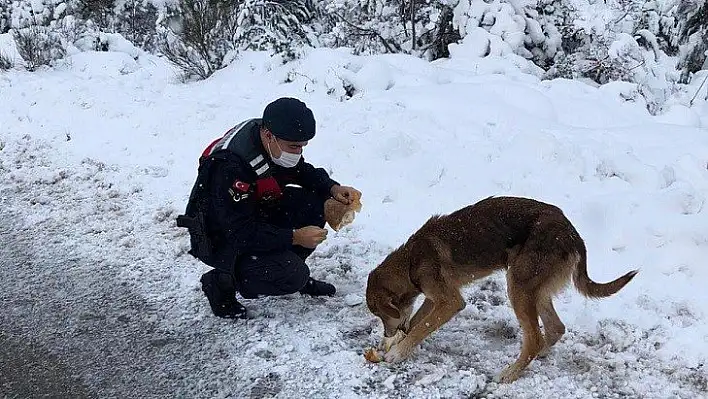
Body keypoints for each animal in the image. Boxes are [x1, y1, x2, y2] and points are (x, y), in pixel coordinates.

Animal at [368, 197, 640, 384]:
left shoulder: (450, 301)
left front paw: (397, 352)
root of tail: (574, 236)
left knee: (535, 338)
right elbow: (415, 321)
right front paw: (396, 342)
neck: (411, 260)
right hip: (535, 290)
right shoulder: (437, 297)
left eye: (381, 315)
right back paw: (539, 355)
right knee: (555, 328)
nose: (387, 333)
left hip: (518, 285)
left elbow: (420, 327)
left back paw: (510, 374)